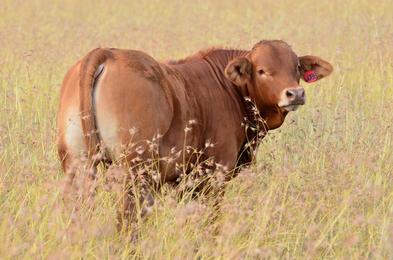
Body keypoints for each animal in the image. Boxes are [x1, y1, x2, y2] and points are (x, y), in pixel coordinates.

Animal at [56, 39, 332, 228]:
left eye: (297, 66)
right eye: (262, 70)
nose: (295, 94)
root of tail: (108, 53)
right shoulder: (216, 174)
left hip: (76, 165)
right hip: (134, 172)